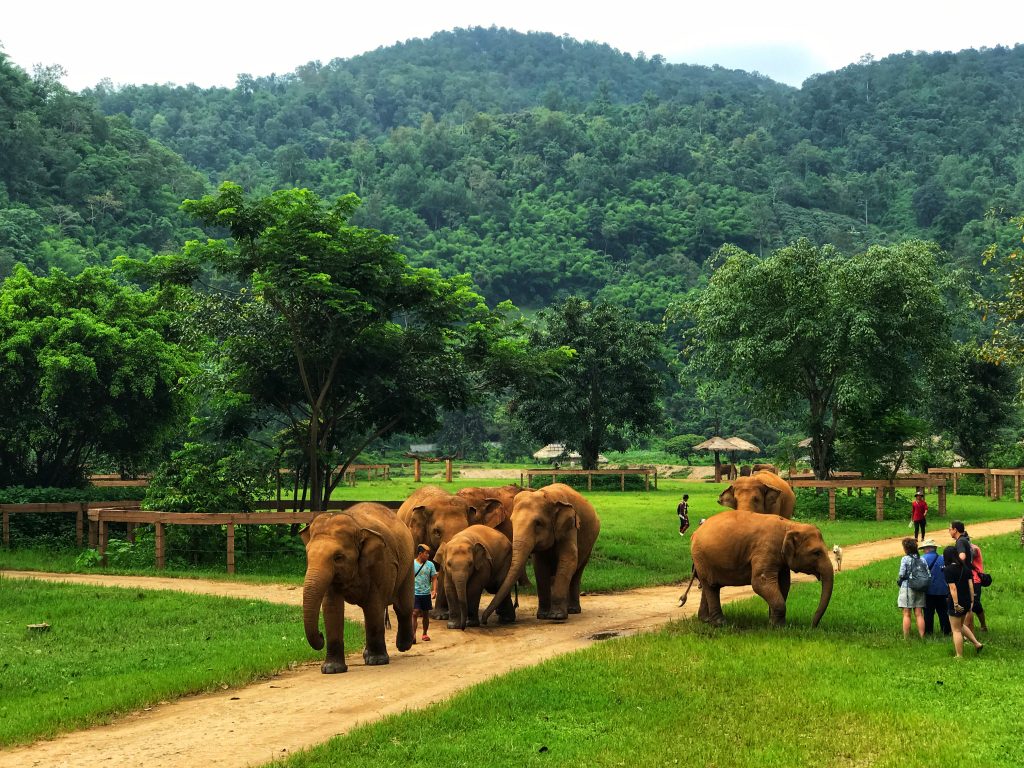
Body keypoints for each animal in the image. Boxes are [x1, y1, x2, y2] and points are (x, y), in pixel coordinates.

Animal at [299, 505, 415, 671]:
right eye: (308, 556)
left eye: (338, 557)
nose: (321, 636)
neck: (357, 526)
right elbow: (332, 607)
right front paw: (332, 669)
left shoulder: (380, 562)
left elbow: (374, 605)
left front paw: (377, 661)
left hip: (409, 560)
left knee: (403, 606)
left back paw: (403, 646)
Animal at [479, 487, 598, 626]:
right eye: (512, 521)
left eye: (538, 523)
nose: (484, 621)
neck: (550, 496)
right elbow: (540, 566)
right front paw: (542, 616)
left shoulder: (569, 527)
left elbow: (568, 560)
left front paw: (557, 616)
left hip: (590, 545)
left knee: (577, 572)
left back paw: (573, 610)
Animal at [679, 512, 831, 626]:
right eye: (816, 553)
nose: (812, 625)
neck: (789, 525)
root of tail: (695, 532)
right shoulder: (765, 548)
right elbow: (760, 583)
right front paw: (779, 627)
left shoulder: (780, 558)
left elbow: (784, 584)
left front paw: (773, 622)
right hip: (701, 556)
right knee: (711, 586)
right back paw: (720, 623)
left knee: (709, 586)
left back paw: (705, 620)